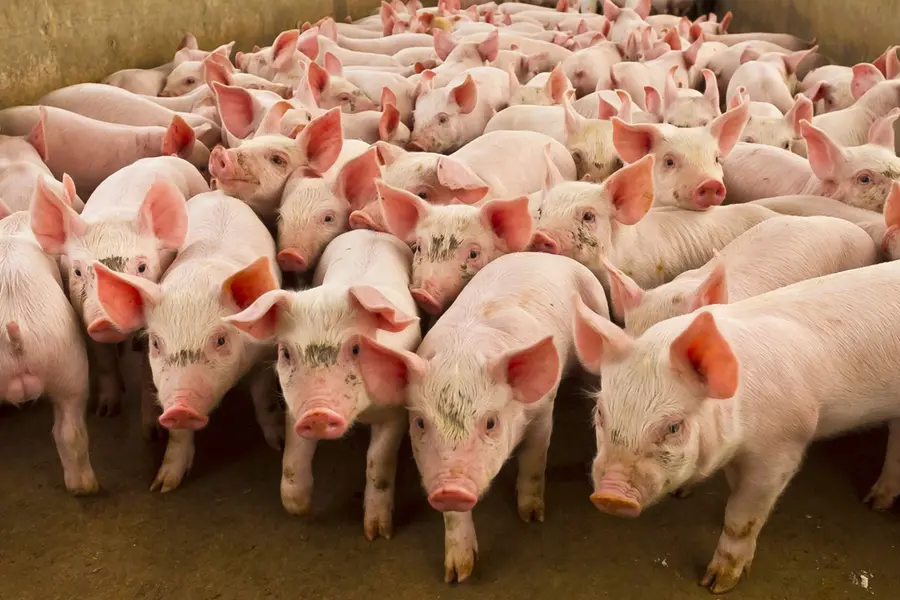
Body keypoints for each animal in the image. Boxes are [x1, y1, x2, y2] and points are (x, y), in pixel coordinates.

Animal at [29, 156, 207, 418]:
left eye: (142, 267)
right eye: (78, 271)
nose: (105, 319)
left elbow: (148, 372)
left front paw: (153, 428)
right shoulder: (84, 317)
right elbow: (104, 361)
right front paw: (105, 412)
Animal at [91, 191, 284, 492]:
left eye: (220, 340)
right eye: (156, 343)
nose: (180, 407)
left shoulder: (264, 352)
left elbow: (264, 398)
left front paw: (279, 444)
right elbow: (179, 435)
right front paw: (162, 486)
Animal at [225, 230, 420, 538]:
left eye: (356, 349)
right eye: (286, 353)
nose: (317, 413)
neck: (361, 415)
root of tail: (370, 231)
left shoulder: (396, 410)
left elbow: (378, 463)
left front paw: (377, 534)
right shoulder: (294, 407)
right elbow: (294, 456)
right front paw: (299, 509)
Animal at [355, 251, 610, 582]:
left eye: (491, 423)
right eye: (421, 423)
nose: (451, 488)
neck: (462, 356)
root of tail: (546, 255)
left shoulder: (542, 410)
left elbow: (534, 460)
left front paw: (531, 516)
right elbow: (453, 516)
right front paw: (457, 574)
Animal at [572, 259, 900, 593]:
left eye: (674, 427)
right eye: (600, 413)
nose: (610, 495)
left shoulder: (783, 446)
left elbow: (742, 518)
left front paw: (716, 584)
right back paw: (876, 503)